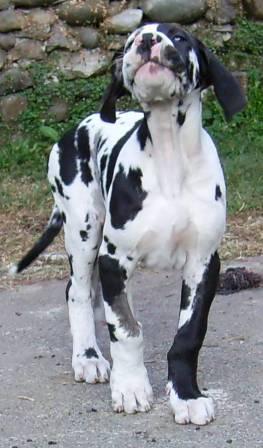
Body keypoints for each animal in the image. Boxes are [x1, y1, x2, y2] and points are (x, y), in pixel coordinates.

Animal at [11, 23, 248, 424]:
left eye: (180, 36)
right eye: (131, 37)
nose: (147, 39)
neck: (169, 156)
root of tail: (75, 128)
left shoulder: (203, 263)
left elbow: (187, 335)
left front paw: (186, 395)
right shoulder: (113, 257)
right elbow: (125, 332)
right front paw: (131, 388)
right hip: (84, 229)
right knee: (77, 292)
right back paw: (88, 358)